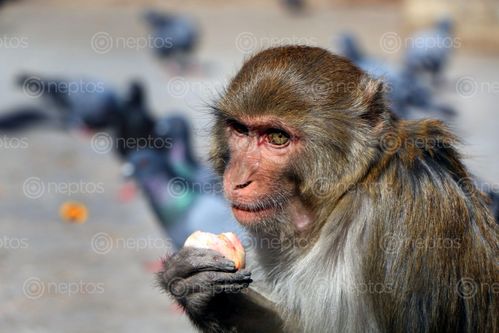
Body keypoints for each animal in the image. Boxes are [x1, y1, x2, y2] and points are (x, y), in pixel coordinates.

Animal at [158, 44, 498, 332]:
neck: (346, 192)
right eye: (241, 130)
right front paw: (197, 289)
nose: (238, 179)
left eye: (277, 137)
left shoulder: (399, 225)